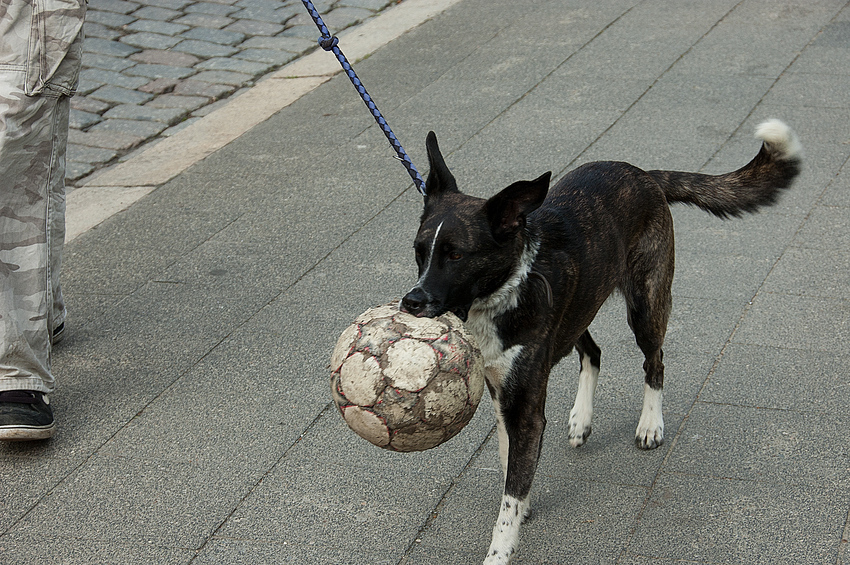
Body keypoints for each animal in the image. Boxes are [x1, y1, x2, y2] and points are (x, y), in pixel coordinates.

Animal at [400, 119, 800, 560]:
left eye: (456, 255)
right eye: (419, 250)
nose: (411, 301)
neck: (504, 291)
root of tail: (643, 174)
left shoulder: (526, 406)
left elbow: (509, 500)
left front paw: (500, 550)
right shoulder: (501, 390)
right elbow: (508, 457)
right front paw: (521, 499)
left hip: (645, 305)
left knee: (655, 361)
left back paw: (650, 424)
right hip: (580, 307)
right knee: (593, 351)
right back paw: (581, 418)